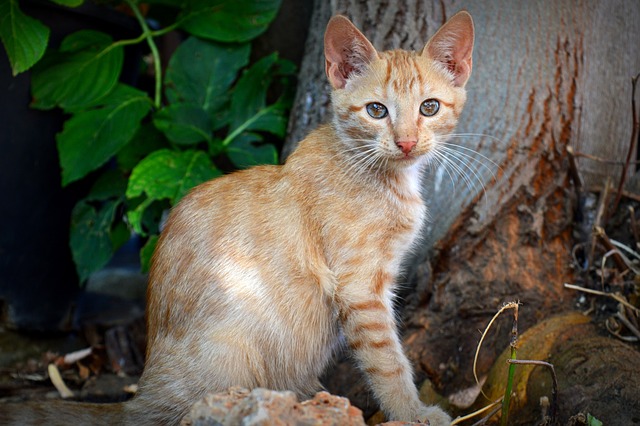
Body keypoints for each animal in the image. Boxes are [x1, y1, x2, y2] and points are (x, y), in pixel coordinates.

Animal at [2, 10, 472, 426]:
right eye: (377, 111)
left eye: (429, 107)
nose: (407, 143)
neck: (380, 174)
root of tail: (140, 397)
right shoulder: (360, 288)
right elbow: (387, 361)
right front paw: (413, 412)